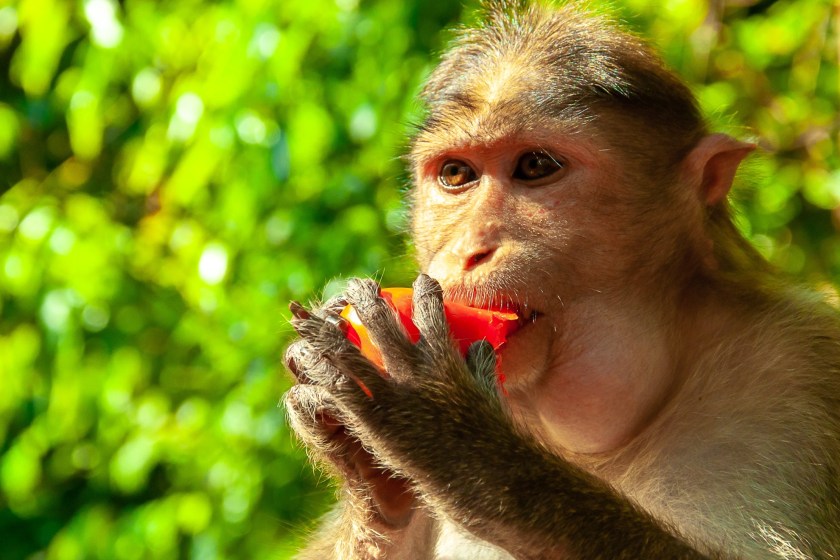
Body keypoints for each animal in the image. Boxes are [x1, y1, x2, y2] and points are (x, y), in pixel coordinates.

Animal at [283, 2, 840, 559]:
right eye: (456, 174)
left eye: (535, 166)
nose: (467, 249)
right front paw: (365, 476)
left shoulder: (798, 371)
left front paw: (454, 438)